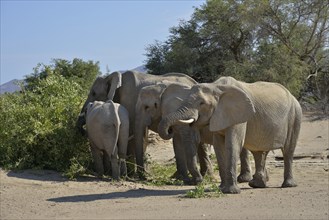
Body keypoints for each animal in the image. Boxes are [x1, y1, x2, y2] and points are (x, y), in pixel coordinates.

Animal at [158, 76, 302, 193]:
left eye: (202, 103)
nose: (170, 130)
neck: (217, 87)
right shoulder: (218, 116)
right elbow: (219, 146)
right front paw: (221, 189)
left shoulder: (238, 115)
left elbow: (233, 144)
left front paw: (231, 191)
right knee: (259, 152)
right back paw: (256, 185)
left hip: (295, 116)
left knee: (288, 150)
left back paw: (288, 185)